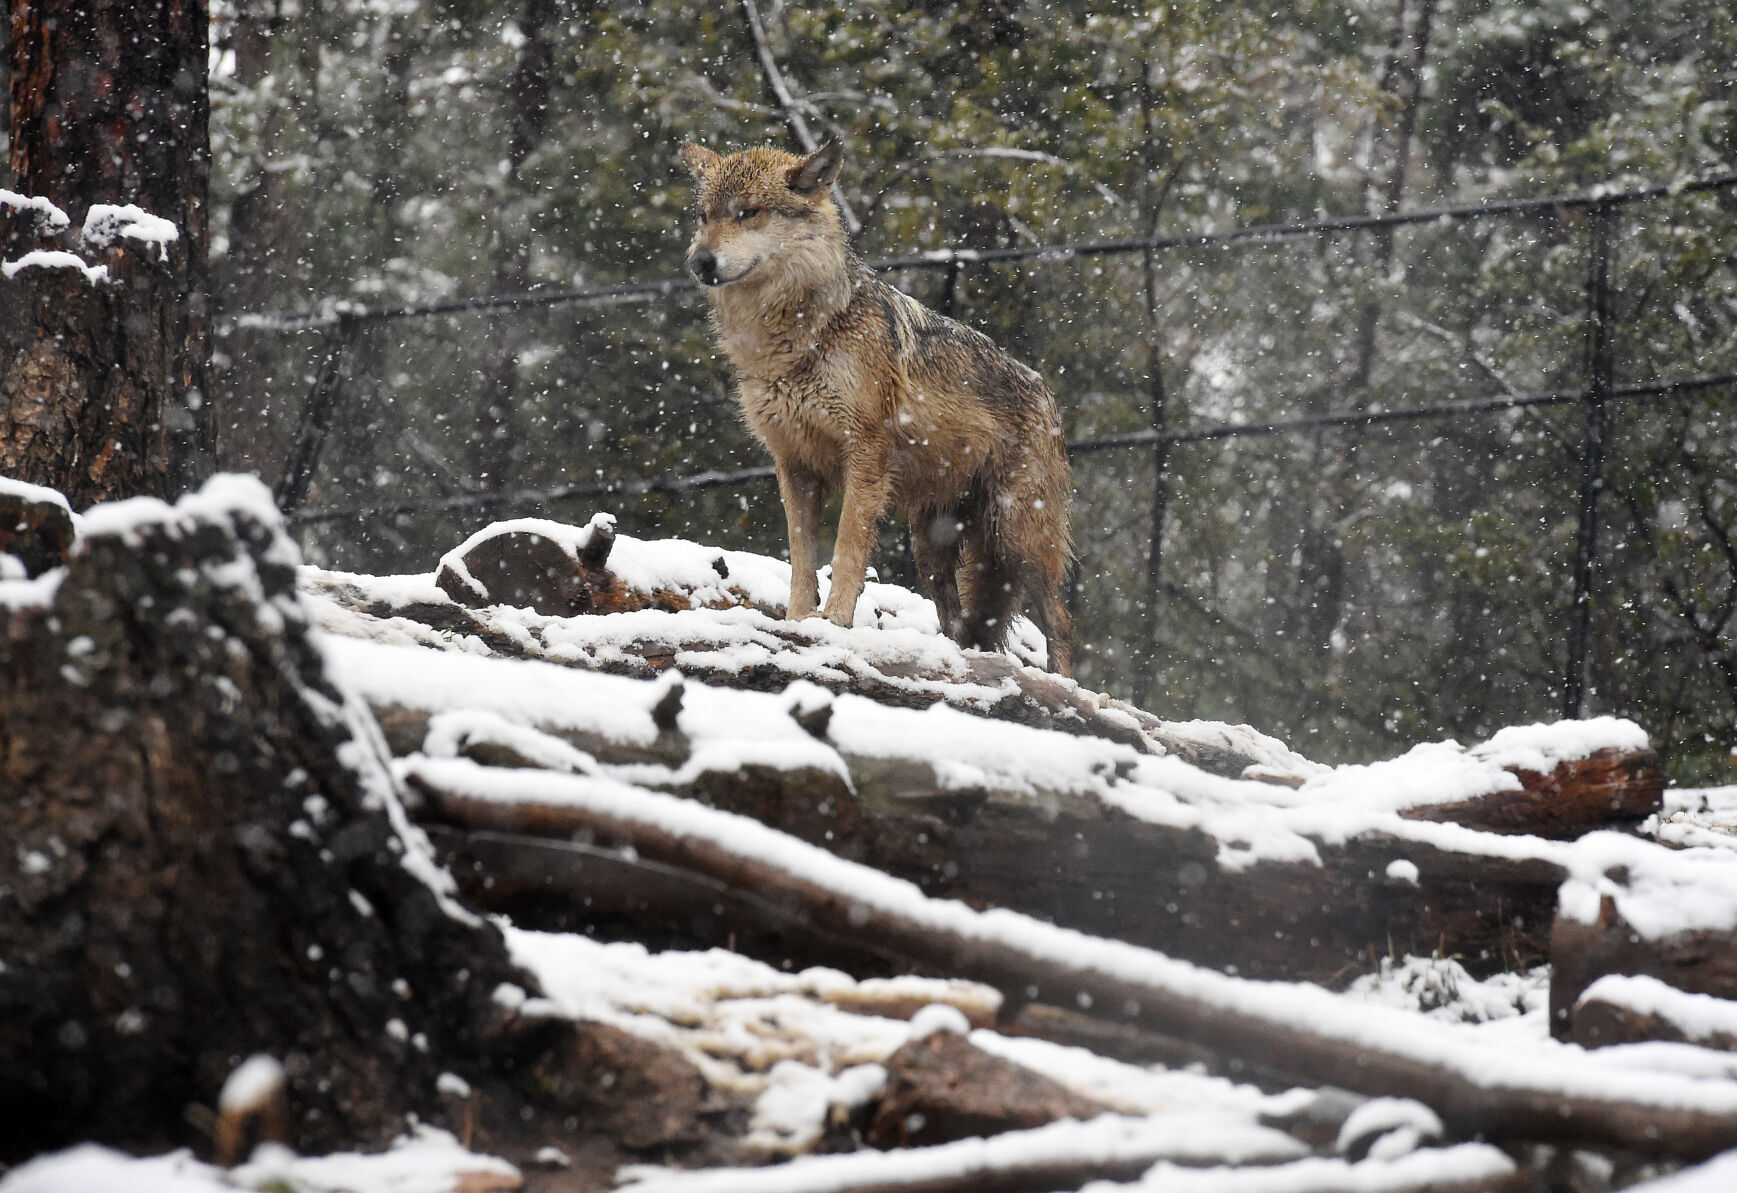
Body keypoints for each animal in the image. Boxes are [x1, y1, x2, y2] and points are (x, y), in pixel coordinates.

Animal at [679, 139, 1074, 675]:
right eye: (704, 217)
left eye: (747, 213)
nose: (699, 261)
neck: (797, 337)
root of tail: (1046, 394)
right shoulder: (793, 465)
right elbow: (801, 558)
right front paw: (797, 622)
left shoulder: (865, 455)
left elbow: (847, 548)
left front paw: (835, 622)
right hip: (932, 546)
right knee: (962, 624)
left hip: (1018, 536)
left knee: (1060, 620)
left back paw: (1071, 687)